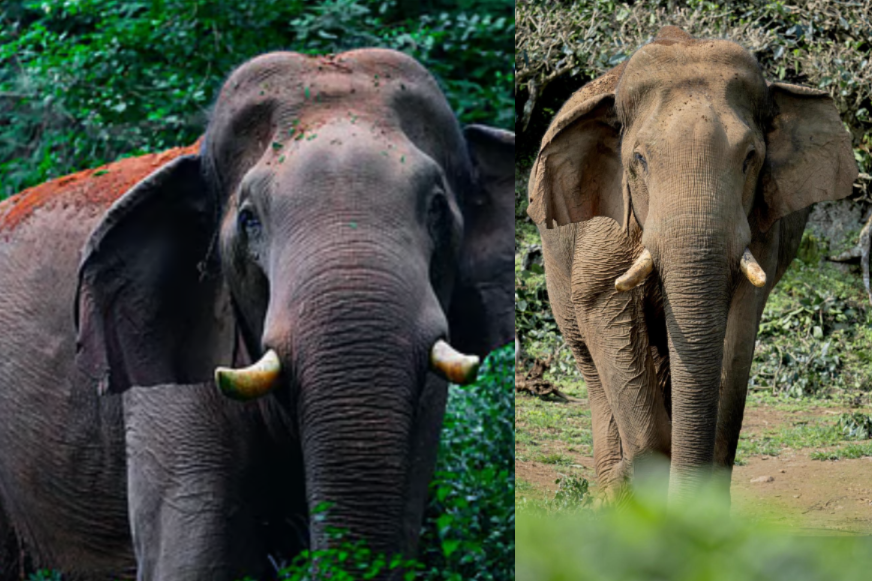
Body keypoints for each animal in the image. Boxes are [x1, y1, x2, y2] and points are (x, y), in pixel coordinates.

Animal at [527, 26, 857, 502]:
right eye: (639, 160)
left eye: (750, 158)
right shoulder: (608, 222)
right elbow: (602, 303)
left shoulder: (760, 229)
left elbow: (736, 335)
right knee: (589, 360)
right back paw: (610, 493)